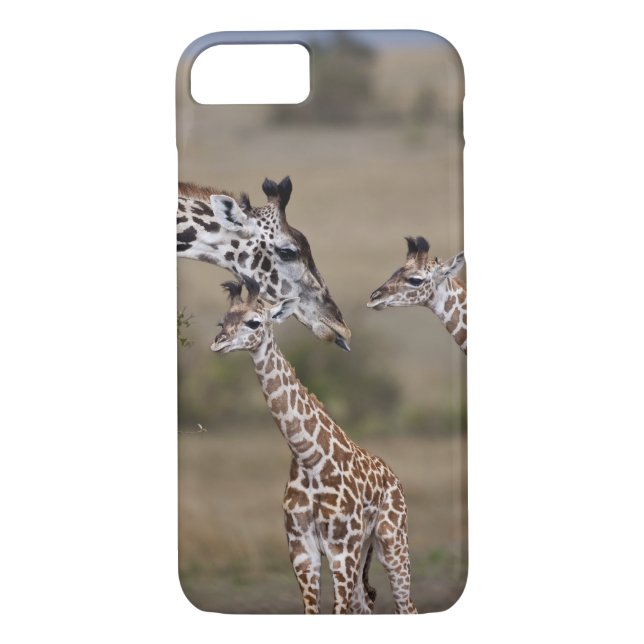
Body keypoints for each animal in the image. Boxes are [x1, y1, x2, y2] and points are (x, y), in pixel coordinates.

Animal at [210, 277, 417, 615]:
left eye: (254, 322)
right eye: (222, 321)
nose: (218, 343)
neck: (309, 457)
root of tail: (393, 476)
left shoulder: (341, 549)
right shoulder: (301, 549)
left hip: (391, 540)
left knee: (405, 605)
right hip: (365, 548)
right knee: (366, 603)